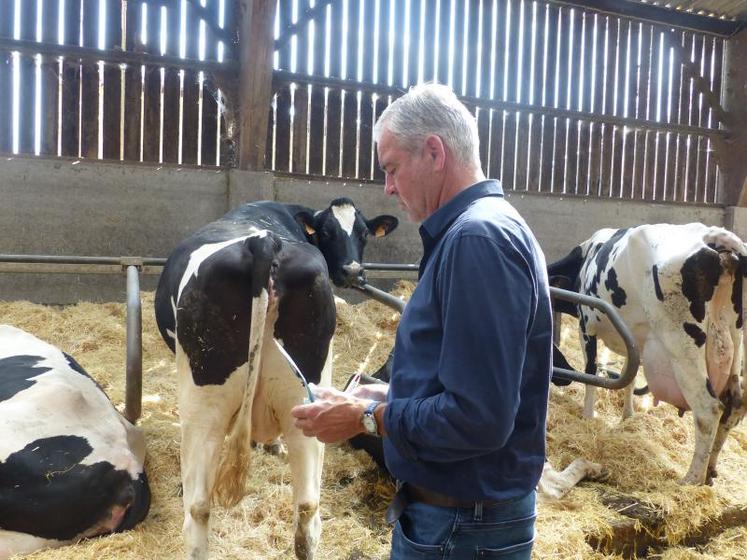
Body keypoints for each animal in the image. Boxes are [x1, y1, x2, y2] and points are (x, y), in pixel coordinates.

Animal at [153, 199, 398, 556]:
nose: (353, 271)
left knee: (197, 509)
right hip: (307, 405)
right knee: (306, 508)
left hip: (202, 407)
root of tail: (264, 242)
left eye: (364, 233)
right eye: (327, 232)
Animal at [548, 224, 747, 486]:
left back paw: (691, 479)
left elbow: (591, 372)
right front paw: (627, 417)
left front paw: (588, 417)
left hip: (681, 347)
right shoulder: (635, 339)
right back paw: (710, 471)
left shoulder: (586, 326)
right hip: (732, 339)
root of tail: (710, 236)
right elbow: (629, 377)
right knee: (734, 406)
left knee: (709, 410)